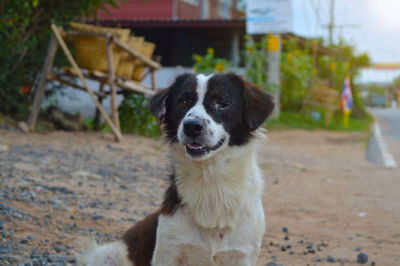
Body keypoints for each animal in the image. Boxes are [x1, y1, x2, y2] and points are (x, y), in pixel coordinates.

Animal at [82, 73, 274, 266]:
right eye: (183, 102)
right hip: (107, 255)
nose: (192, 126)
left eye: (221, 103)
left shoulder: (242, 254)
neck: (210, 178)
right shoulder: (168, 252)